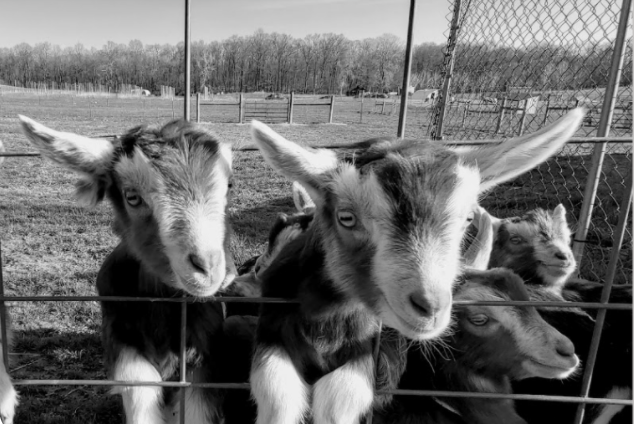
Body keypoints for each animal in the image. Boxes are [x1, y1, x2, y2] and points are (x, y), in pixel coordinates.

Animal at [21, 116, 237, 424]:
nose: (207, 269)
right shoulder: (121, 339)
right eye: (132, 196)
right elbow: (140, 390)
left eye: (229, 184)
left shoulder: (205, 353)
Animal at [247, 110, 584, 424]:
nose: (431, 308)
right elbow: (276, 395)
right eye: (346, 217)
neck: (327, 320)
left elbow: (337, 401)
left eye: (467, 219)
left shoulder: (366, 352)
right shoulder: (272, 333)